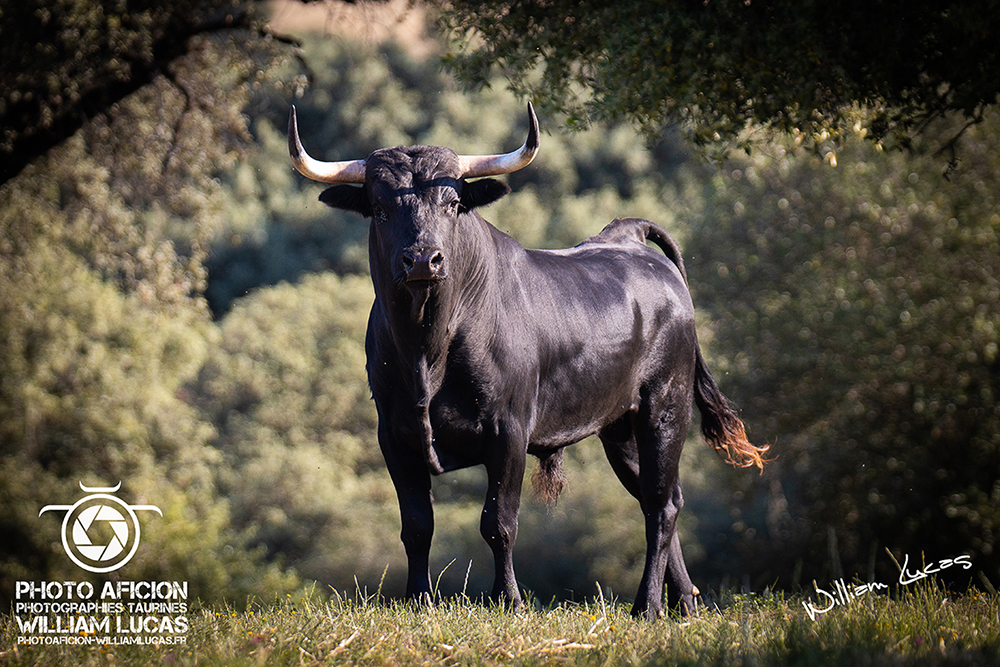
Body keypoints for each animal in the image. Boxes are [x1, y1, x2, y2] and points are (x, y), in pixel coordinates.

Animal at [290, 104, 764, 620]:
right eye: (380, 208)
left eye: (452, 204)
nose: (422, 260)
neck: (427, 352)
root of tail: (630, 239)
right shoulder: (394, 435)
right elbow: (417, 525)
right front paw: (419, 602)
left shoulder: (509, 430)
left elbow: (498, 522)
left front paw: (509, 600)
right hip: (620, 426)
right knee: (660, 495)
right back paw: (681, 604)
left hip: (665, 405)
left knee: (660, 504)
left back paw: (647, 604)